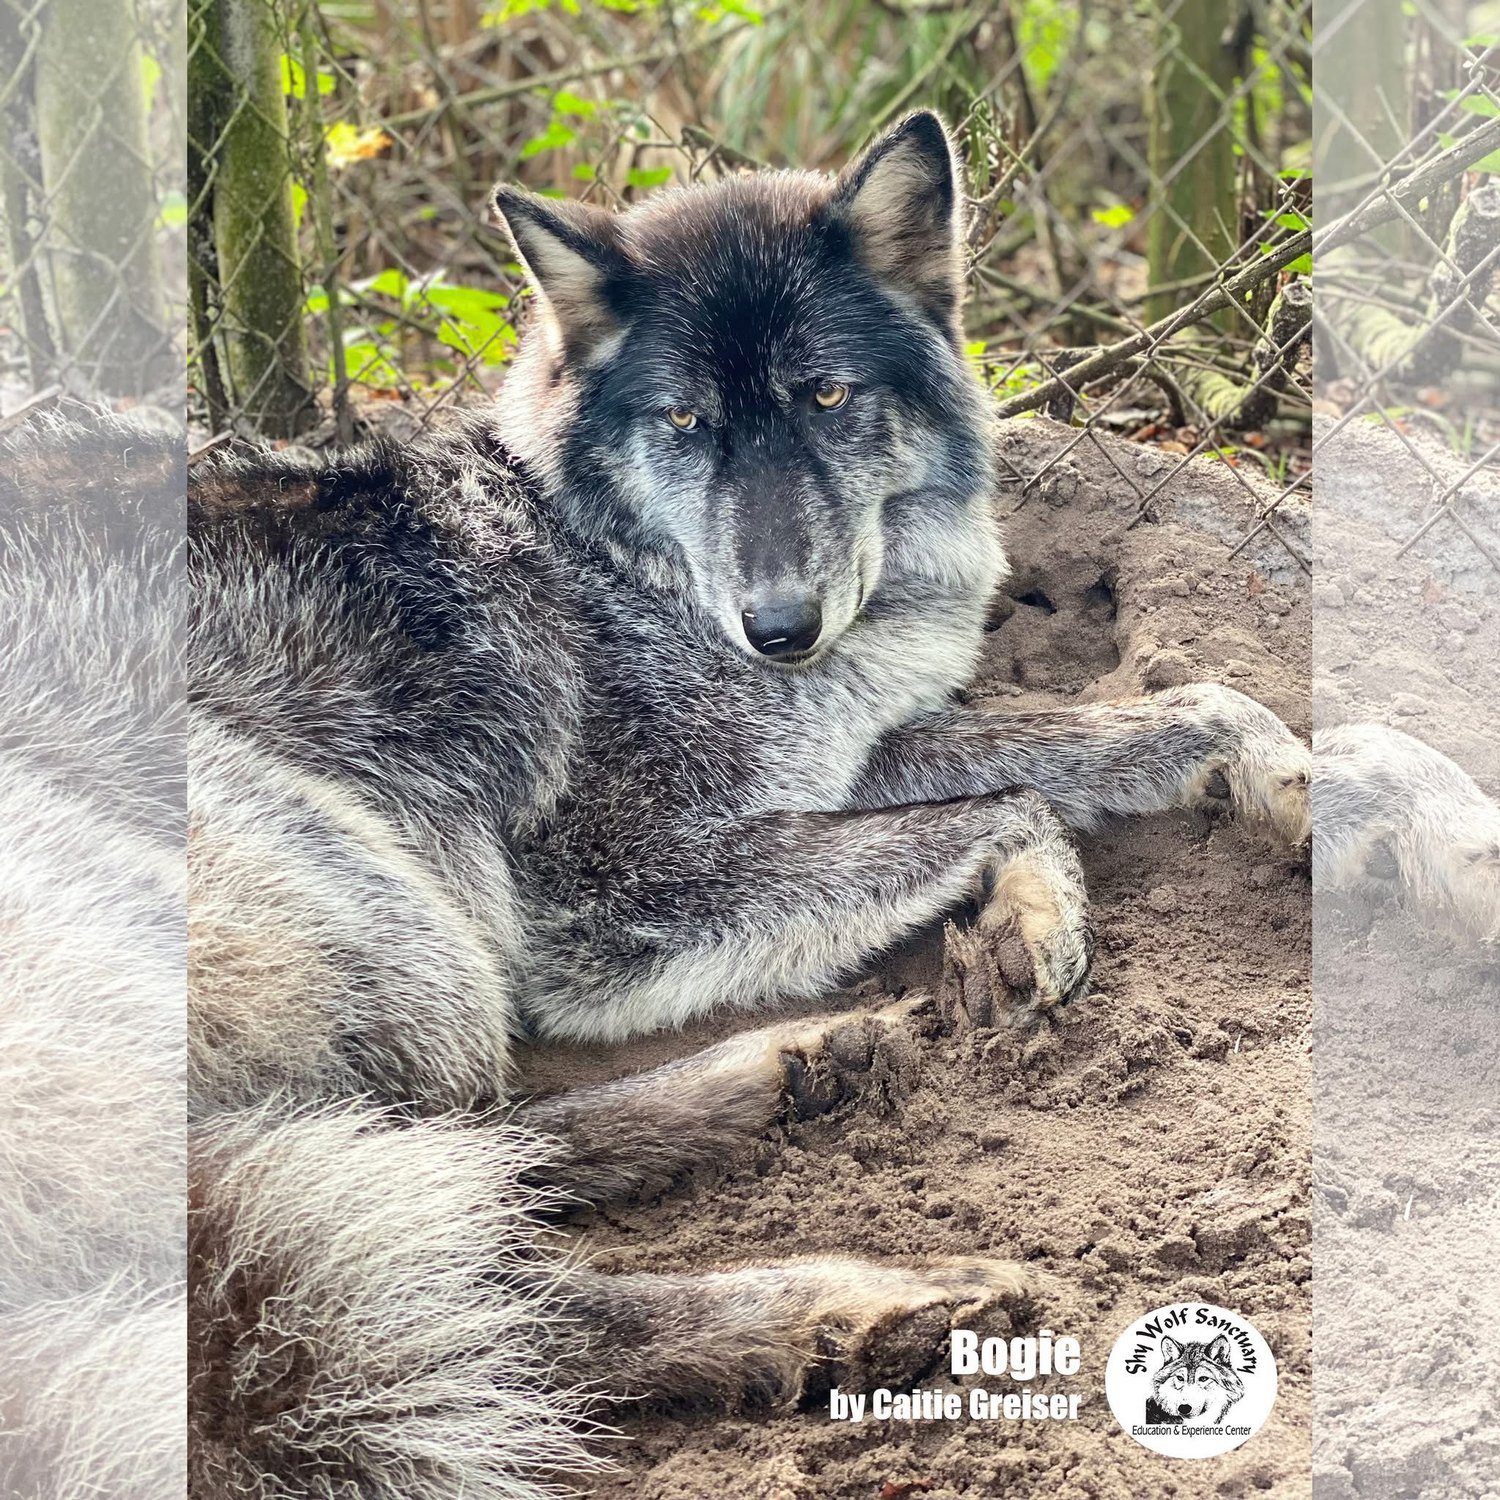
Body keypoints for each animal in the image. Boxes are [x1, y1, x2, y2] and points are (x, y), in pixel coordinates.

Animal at [176, 112, 1312, 1497]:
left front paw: (1295, 781)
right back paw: (856, 1303)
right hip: (391, 912)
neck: (607, 564)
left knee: (459, 1164)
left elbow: (1143, 722)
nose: (780, 630)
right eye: (682, 420)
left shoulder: (840, 753)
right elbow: (1011, 807)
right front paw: (1034, 916)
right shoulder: (604, 906)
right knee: (451, 1281)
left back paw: (795, 1066)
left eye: (825, 396)